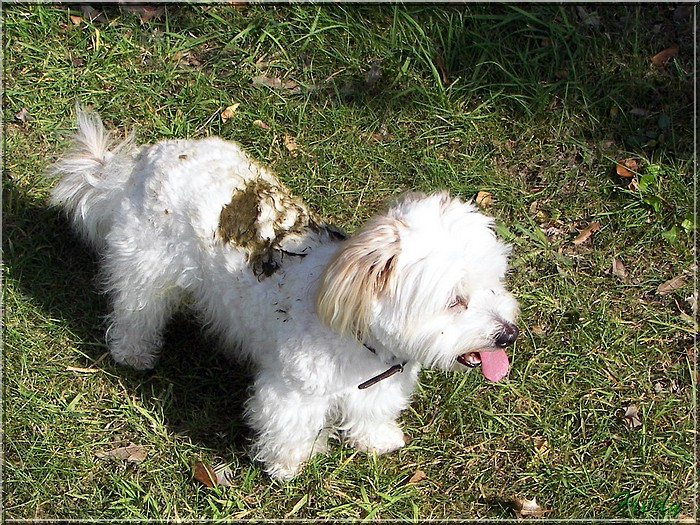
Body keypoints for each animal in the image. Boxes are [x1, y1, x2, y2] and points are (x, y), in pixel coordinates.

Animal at [49, 108, 520, 482]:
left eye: (494, 282)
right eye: (456, 301)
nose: (508, 334)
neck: (356, 332)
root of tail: (148, 158)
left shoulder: (378, 385)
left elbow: (372, 411)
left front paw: (376, 439)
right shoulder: (293, 393)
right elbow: (288, 427)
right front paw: (288, 465)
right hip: (146, 269)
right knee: (133, 311)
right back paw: (134, 351)